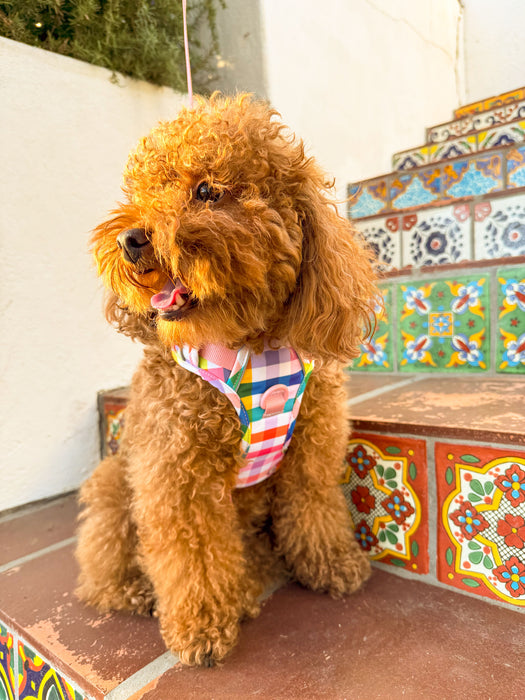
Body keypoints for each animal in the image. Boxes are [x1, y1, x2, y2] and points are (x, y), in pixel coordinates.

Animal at [75, 93, 376, 668]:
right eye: (141, 194)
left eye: (207, 191)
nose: (128, 239)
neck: (252, 349)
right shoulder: (175, 473)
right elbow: (192, 554)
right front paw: (201, 628)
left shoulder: (310, 447)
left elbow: (315, 506)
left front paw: (332, 564)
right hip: (113, 481)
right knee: (102, 561)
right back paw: (136, 591)